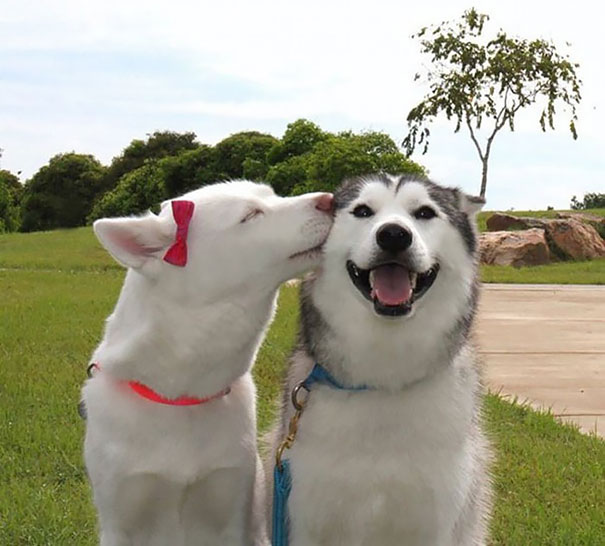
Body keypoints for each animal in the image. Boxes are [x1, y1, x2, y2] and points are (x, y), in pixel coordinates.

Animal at [81, 180, 330, 544]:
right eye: (250, 215)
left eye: (273, 196)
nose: (331, 200)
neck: (182, 398)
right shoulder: (121, 521)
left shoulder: (232, 511)